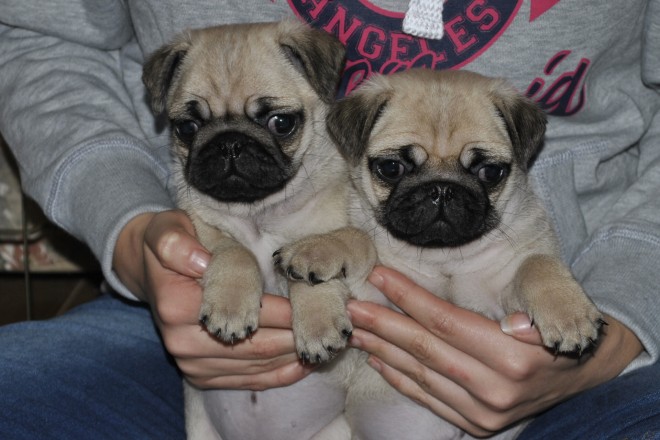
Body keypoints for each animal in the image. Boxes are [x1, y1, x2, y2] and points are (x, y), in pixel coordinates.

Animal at [276, 68, 604, 436]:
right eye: (392, 168)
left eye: (489, 172)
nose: (442, 189)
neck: (443, 256)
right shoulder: (377, 301)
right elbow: (357, 237)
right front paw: (315, 269)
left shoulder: (504, 307)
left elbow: (537, 264)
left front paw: (568, 315)